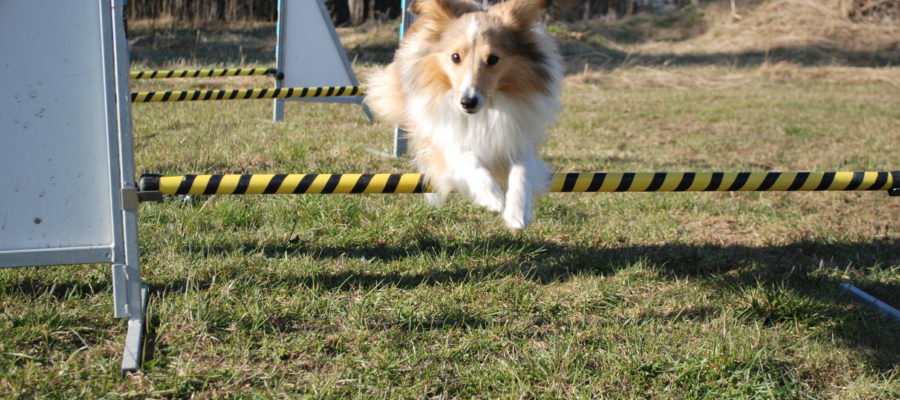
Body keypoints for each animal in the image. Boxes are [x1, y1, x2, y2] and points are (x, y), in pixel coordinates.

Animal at [366, 0, 564, 231]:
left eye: (493, 59)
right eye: (455, 57)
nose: (468, 102)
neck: (487, 109)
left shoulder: (516, 135)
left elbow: (521, 170)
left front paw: (517, 211)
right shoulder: (439, 134)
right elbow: (465, 155)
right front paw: (492, 195)